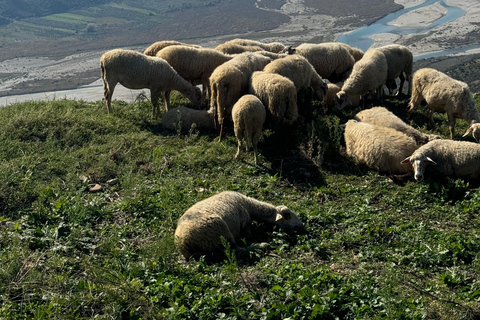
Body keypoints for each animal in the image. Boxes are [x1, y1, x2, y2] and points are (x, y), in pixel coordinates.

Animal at [175, 190, 304, 260]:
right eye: (287, 215)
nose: (302, 225)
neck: (249, 205)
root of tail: (184, 245)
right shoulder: (245, 223)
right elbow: (248, 234)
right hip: (220, 233)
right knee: (236, 250)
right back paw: (262, 245)